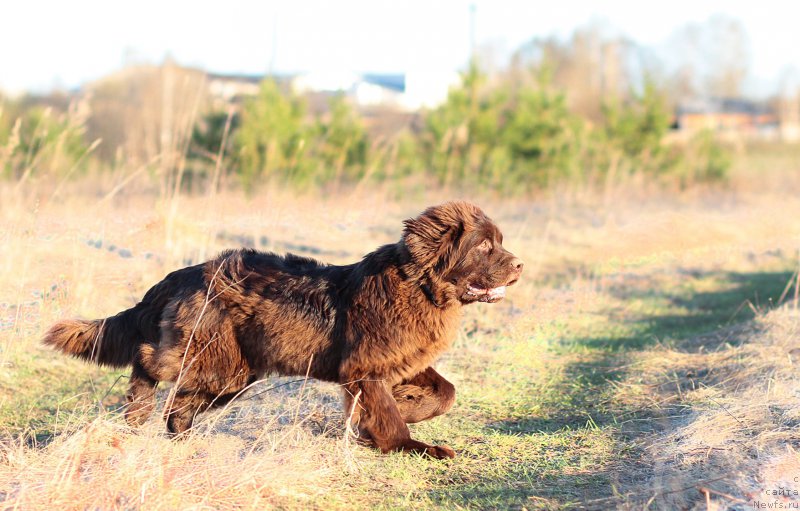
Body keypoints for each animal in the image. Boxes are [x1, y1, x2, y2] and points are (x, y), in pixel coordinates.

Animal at [47, 203, 528, 460]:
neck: (420, 287)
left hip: (230, 371)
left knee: (179, 405)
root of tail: (185, 272)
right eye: (485, 246)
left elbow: (445, 392)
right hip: (212, 359)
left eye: (501, 242)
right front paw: (408, 444)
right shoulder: (365, 368)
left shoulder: (403, 361)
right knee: (147, 361)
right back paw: (136, 412)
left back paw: (181, 442)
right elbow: (389, 415)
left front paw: (402, 412)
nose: (520, 265)